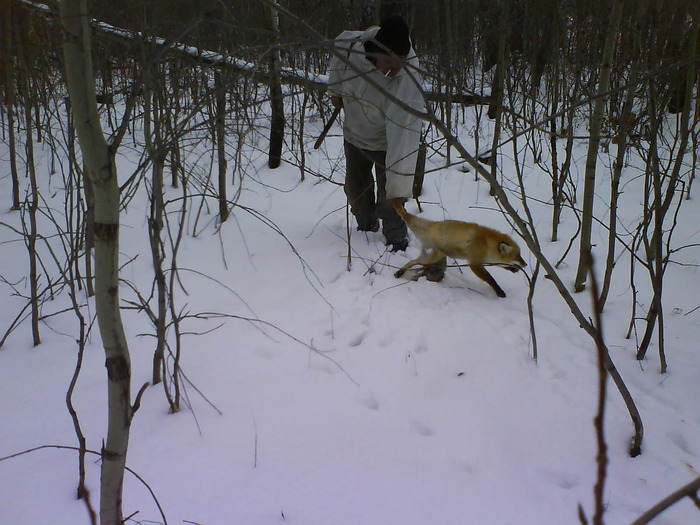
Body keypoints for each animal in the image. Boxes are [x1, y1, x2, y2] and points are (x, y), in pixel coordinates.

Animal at [392, 202, 528, 296]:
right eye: (517, 256)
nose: (525, 264)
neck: (486, 243)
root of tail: (433, 225)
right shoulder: (475, 263)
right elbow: (491, 279)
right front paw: (499, 292)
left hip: (432, 257)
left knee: (413, 261)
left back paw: (400, 272)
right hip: (428, 253)